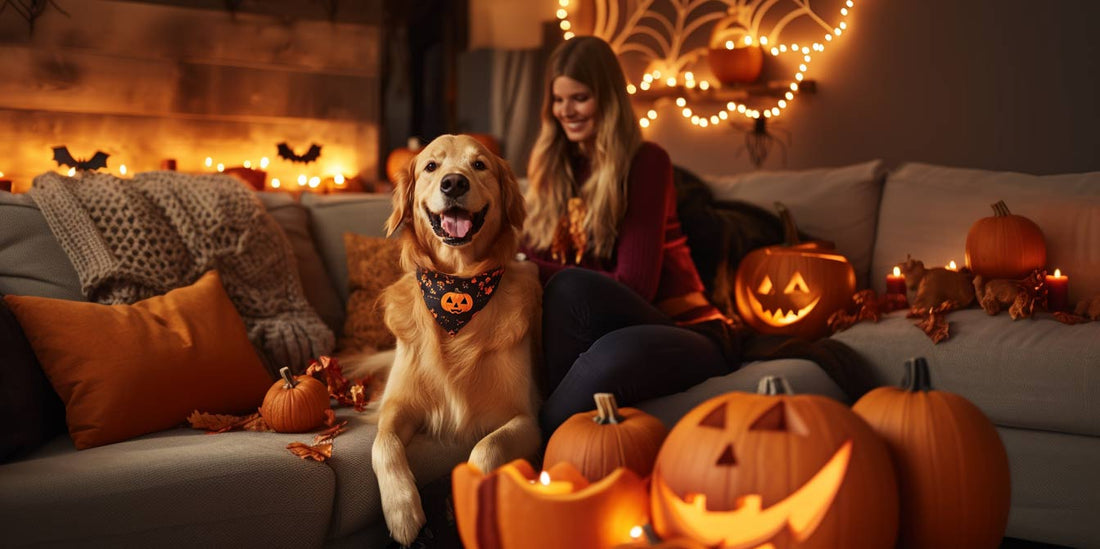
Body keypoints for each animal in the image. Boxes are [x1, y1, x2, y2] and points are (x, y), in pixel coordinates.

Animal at [347, 133, 541, 545]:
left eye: (480, 164)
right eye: (431, 167)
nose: (454, 183)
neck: (459, 283)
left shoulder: (527, 418)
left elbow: (487, 446)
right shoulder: (396, 406)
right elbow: (383, 445)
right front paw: (402, 511)